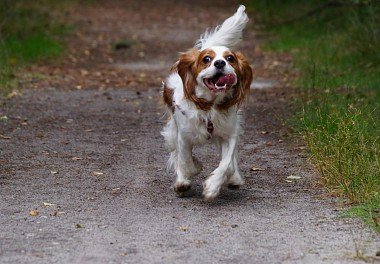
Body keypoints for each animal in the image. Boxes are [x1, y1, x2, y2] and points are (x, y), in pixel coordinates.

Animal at [160, 5, 252, 200]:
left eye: (230, 58)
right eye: (206, 59)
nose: (220, 63)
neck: (210, 106)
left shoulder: (229, 134)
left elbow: (226, 163)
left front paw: (212, 186)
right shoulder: (184, 135)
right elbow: (185, 160)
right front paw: (185, 179)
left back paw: (234, 178)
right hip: (173, 130)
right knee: (176, 154)